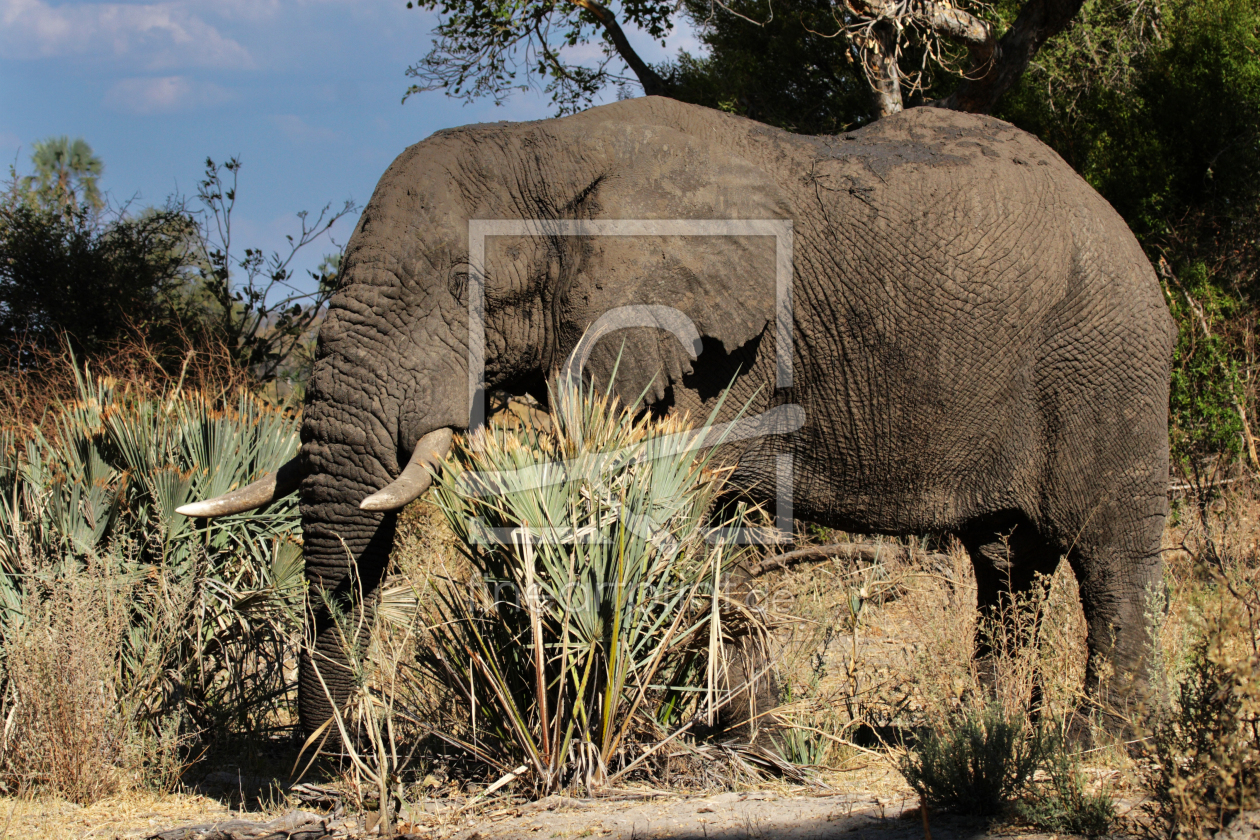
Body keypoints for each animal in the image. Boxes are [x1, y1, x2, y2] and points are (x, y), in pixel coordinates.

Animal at [182, 96, 1174, 740]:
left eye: (466, 283)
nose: (328, 767)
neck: (545, 147)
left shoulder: (715, 343)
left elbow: (682, 511)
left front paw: (749, 740)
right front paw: (756, 736)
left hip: (1107, 363)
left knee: (1108, 554)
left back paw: (1093, 743)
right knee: (1007, 566)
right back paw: (983, 735)